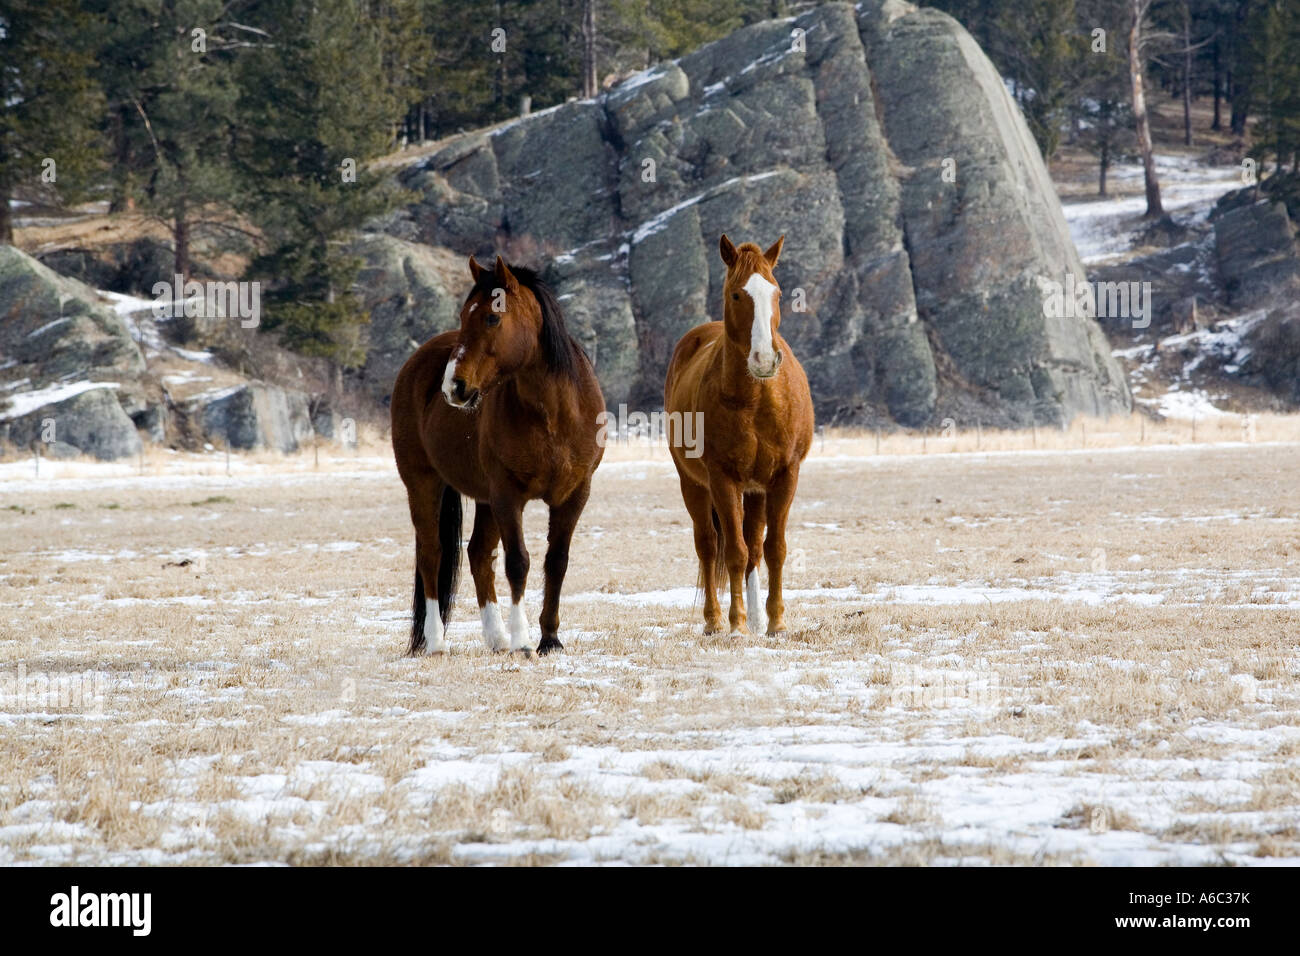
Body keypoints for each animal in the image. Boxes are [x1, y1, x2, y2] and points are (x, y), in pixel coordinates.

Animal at [390, 255, 605, 657]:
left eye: (492, 317)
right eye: (463, 315)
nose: (453, 386)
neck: (553, 414)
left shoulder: (573, 495)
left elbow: (556, 561)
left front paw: (550, 639)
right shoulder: (508, 495)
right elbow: (518, 561)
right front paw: (523, 639)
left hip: (485, 498)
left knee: (477, 554)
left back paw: (496, 637)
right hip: (423, 483)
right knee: (431, 553)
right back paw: (436, 640)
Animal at [663, 235, 814, 637]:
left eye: (777, 293)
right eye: (736, 294)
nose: (764, 359)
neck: (757, 399)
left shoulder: (785, 476)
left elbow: (774, 548)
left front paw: (775, 622)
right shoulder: (723, 479)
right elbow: (732, 551)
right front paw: (737, 624)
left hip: (756, 490)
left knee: (755, 547)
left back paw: (759, 617)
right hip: (693, 484)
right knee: (707, 544)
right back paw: (715, 621)